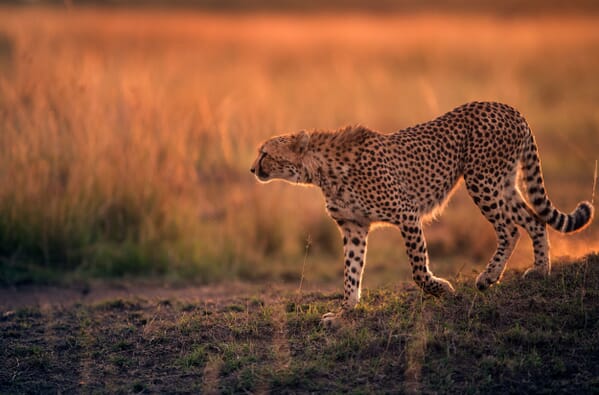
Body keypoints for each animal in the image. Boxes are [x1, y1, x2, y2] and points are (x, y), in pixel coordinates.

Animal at [250, 102, 596, 324]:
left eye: (265, 153)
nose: (252, 168)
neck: (322, 170)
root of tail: (507, 107)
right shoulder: (353, 226)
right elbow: (351, 272)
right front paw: (345, 312)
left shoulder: (407, 215)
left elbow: (417, 270)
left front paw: (441, 289)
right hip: (504, 183)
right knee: (534, 220)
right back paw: (540, 271)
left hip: (482, 180)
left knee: (510, 229)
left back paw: (488, 277)